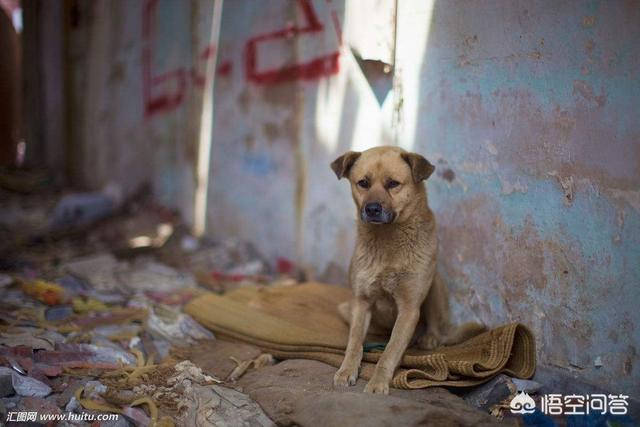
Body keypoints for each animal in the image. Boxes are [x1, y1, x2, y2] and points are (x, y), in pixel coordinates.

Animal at [330, 146, 484, 394]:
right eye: (363, 183)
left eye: (393, 183)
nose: (372, 209)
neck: (387, 241)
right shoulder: (362, 302)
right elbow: (354, 344)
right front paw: (346, 370)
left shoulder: (409, 308)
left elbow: (390, 351)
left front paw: (378, 382)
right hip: (347, 308)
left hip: (434, 286)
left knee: (434, 326)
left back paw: (429, 338)